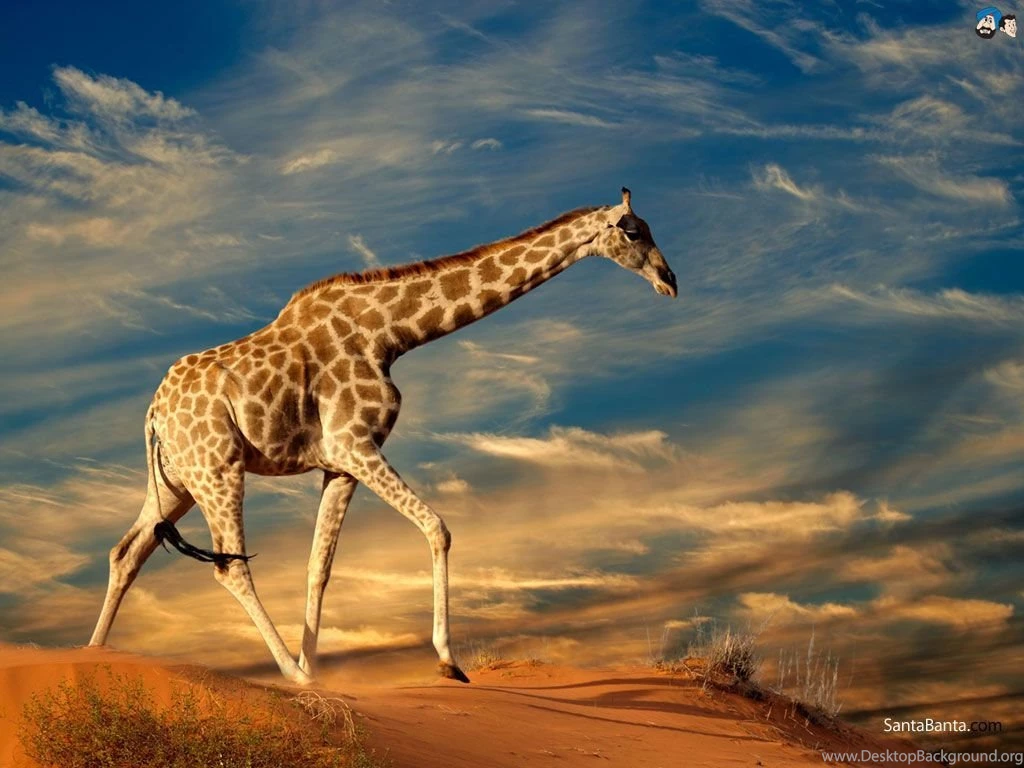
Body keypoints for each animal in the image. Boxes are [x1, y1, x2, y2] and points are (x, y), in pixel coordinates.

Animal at [88, 187, 677, 686]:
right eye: (633, 231)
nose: (670, 280)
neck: (392, 334)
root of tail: (152, 413)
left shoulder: (338, 464)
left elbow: (319, 567)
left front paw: (318, 666)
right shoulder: (355, 443)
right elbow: (438, 527)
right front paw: (447, 663)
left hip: (176, 481)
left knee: (126, 552)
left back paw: (94, 655)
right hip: (218, 468)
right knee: (229, 566)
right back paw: (291, 677)